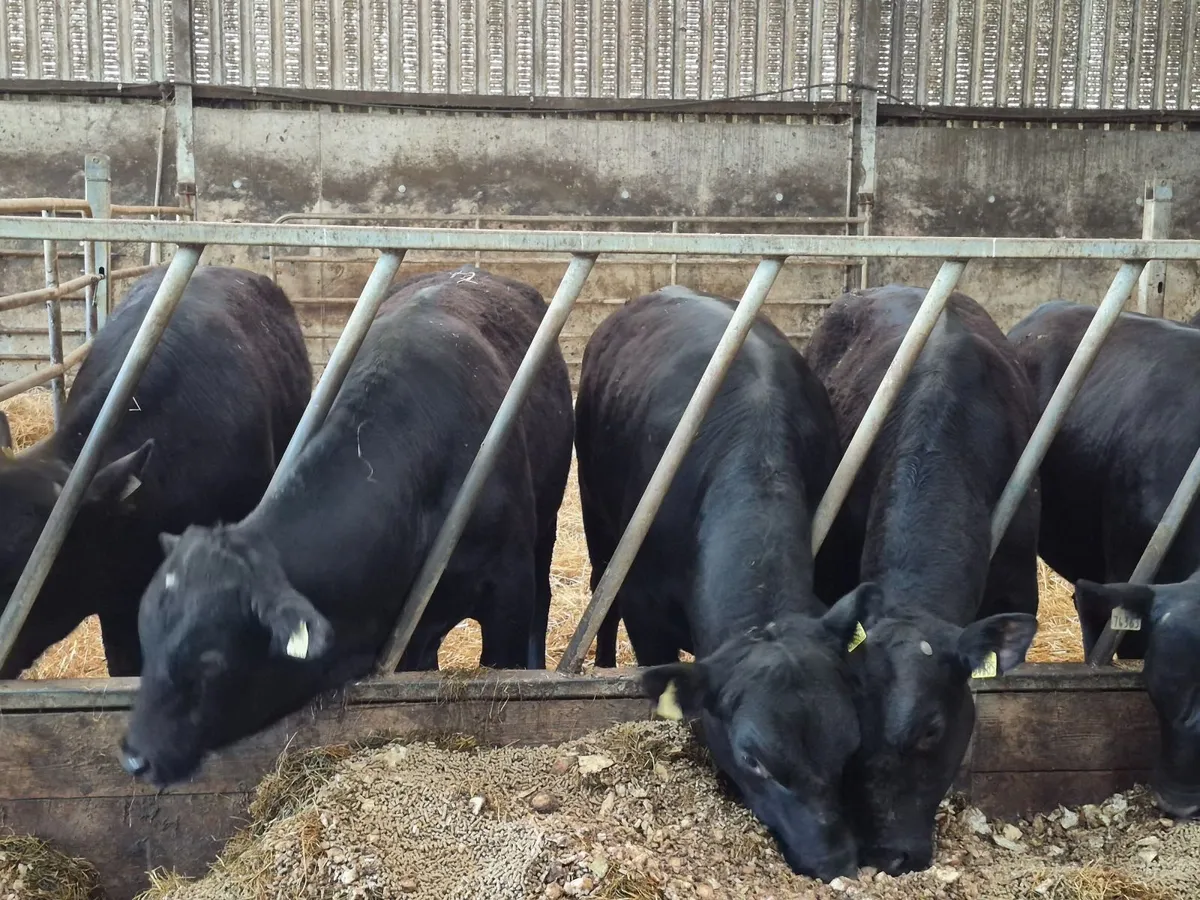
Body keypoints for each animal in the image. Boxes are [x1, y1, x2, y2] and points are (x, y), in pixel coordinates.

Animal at [575, 286, 878, 882]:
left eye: (851, 745)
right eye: (753, 758)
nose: (834, 859)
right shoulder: (645, 610)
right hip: (598, 520)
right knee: (603, 589)